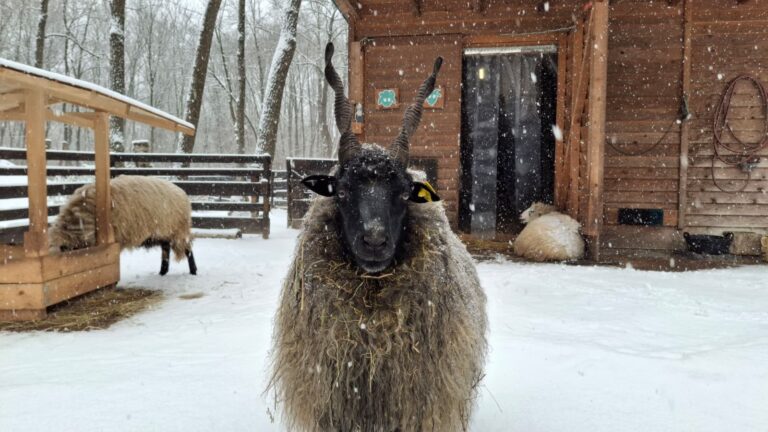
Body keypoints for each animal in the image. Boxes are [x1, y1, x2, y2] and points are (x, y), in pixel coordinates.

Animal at [49, 175, 197, 275]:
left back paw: (193, 271)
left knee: (188, 249)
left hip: (179, 230)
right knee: (165, 248)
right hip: (164, 231)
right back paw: (162, 271)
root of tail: (181, 191)